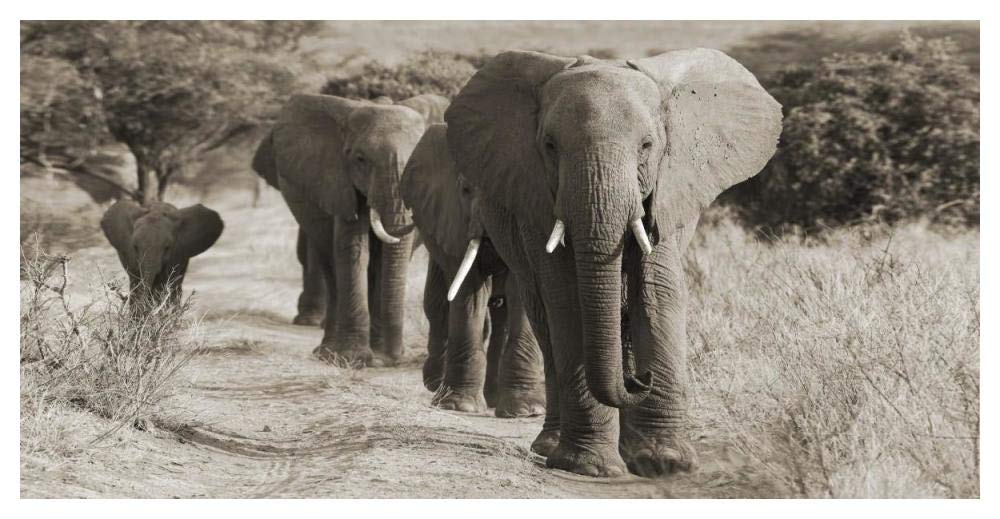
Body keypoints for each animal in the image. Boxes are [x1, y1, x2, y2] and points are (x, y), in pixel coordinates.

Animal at [256, 93, 449, 366]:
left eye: (416, 162)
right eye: (360, 160)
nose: (396, 358)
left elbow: (387, 258)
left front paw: (379, 358)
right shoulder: (340, 182)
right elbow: (354, 250)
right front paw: (354, 359)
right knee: (331, 264)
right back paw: (327, 353)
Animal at [401, 123, 545, 417]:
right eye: (466, 189)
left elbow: (520, 291)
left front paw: (527, 411)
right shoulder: (451, 218)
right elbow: (469, 290)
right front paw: (459, 406)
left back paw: (493, 398)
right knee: (437, 303)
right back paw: (437, 385)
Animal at [444, 49, 781, 477]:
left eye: (648, 146)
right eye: (550, 146)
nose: (641, 379)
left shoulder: (667, 191)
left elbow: (657, 292)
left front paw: (665, 463)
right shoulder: (536, 198)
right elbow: (568, 299)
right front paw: (590, 467)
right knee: (545, 322)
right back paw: (552, 447)